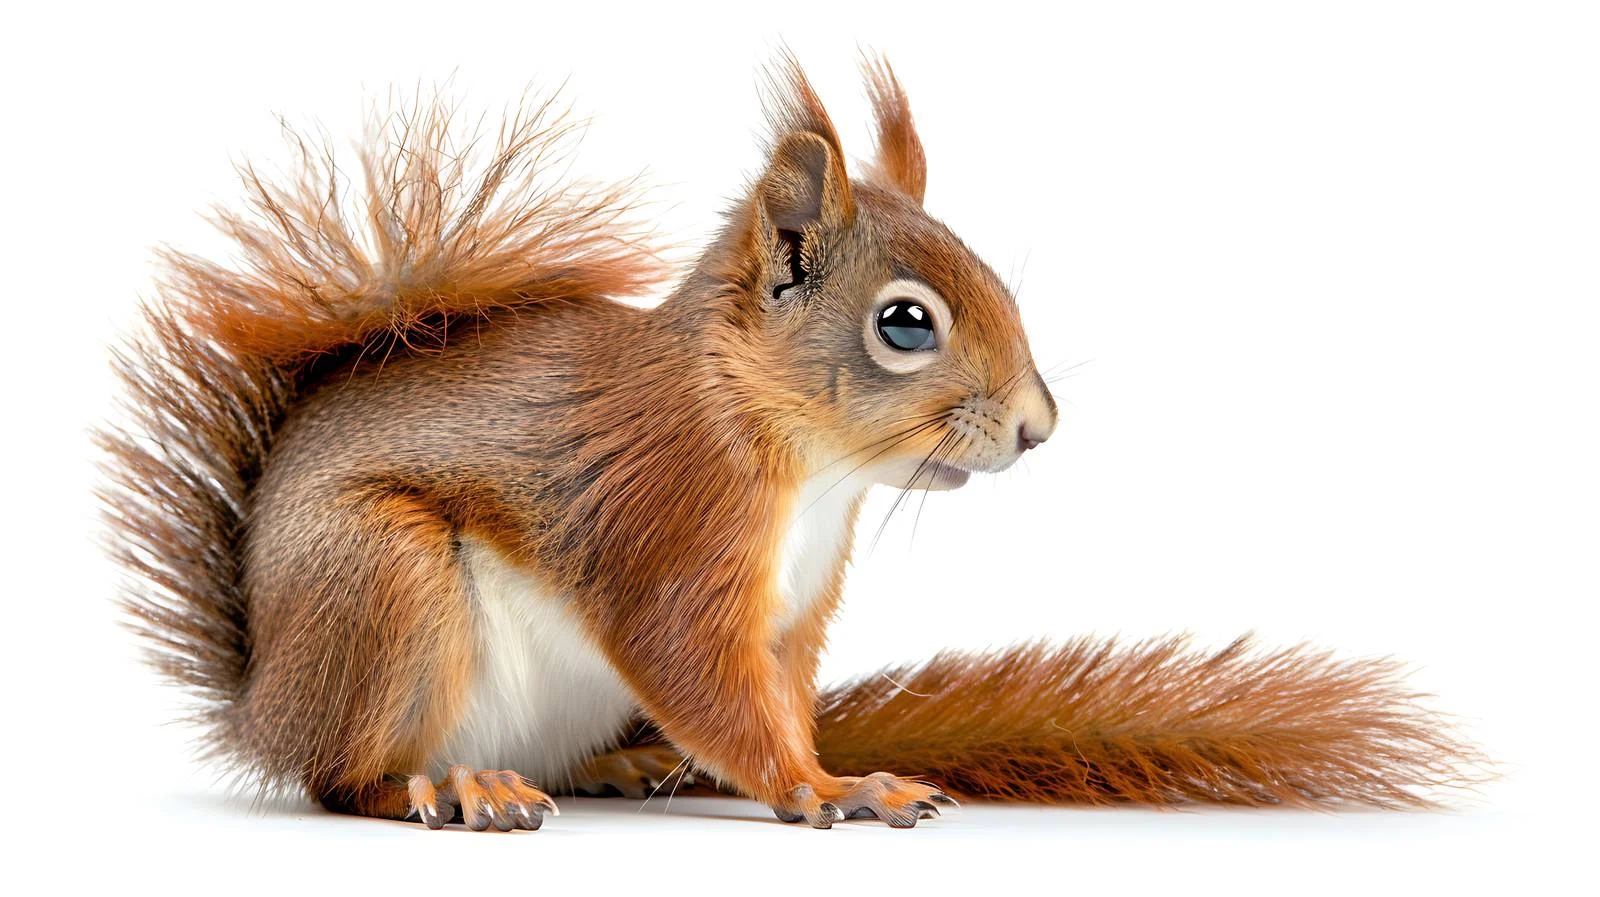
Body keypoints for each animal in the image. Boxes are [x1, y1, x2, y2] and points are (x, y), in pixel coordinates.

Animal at [98, 56, 1476, 831]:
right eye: (907, 323)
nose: (1039, 429)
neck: (803, 462)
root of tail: (264, 699)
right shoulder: (669, 531)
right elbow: (705, 678)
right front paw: (824, 791)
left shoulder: (796, 605)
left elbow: (780, 694)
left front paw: (825, 768)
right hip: (382, 587)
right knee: (343, 779)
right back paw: (450, 788)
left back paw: (618, 768)